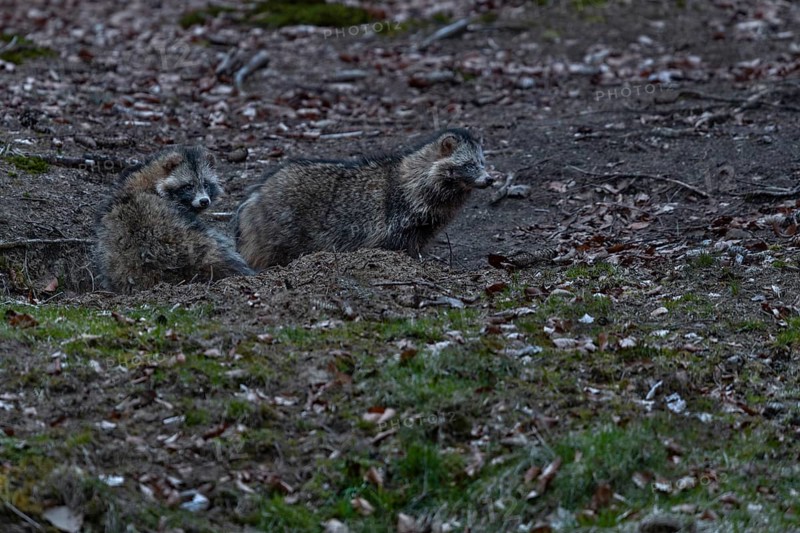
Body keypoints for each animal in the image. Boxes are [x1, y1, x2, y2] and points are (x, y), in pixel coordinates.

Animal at [235, 128, 492, 269]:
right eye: (469, 165)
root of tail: (255, 196)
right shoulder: (397, 216)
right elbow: (397, 245)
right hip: (280, 228)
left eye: (482, 163)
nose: (490, 179)